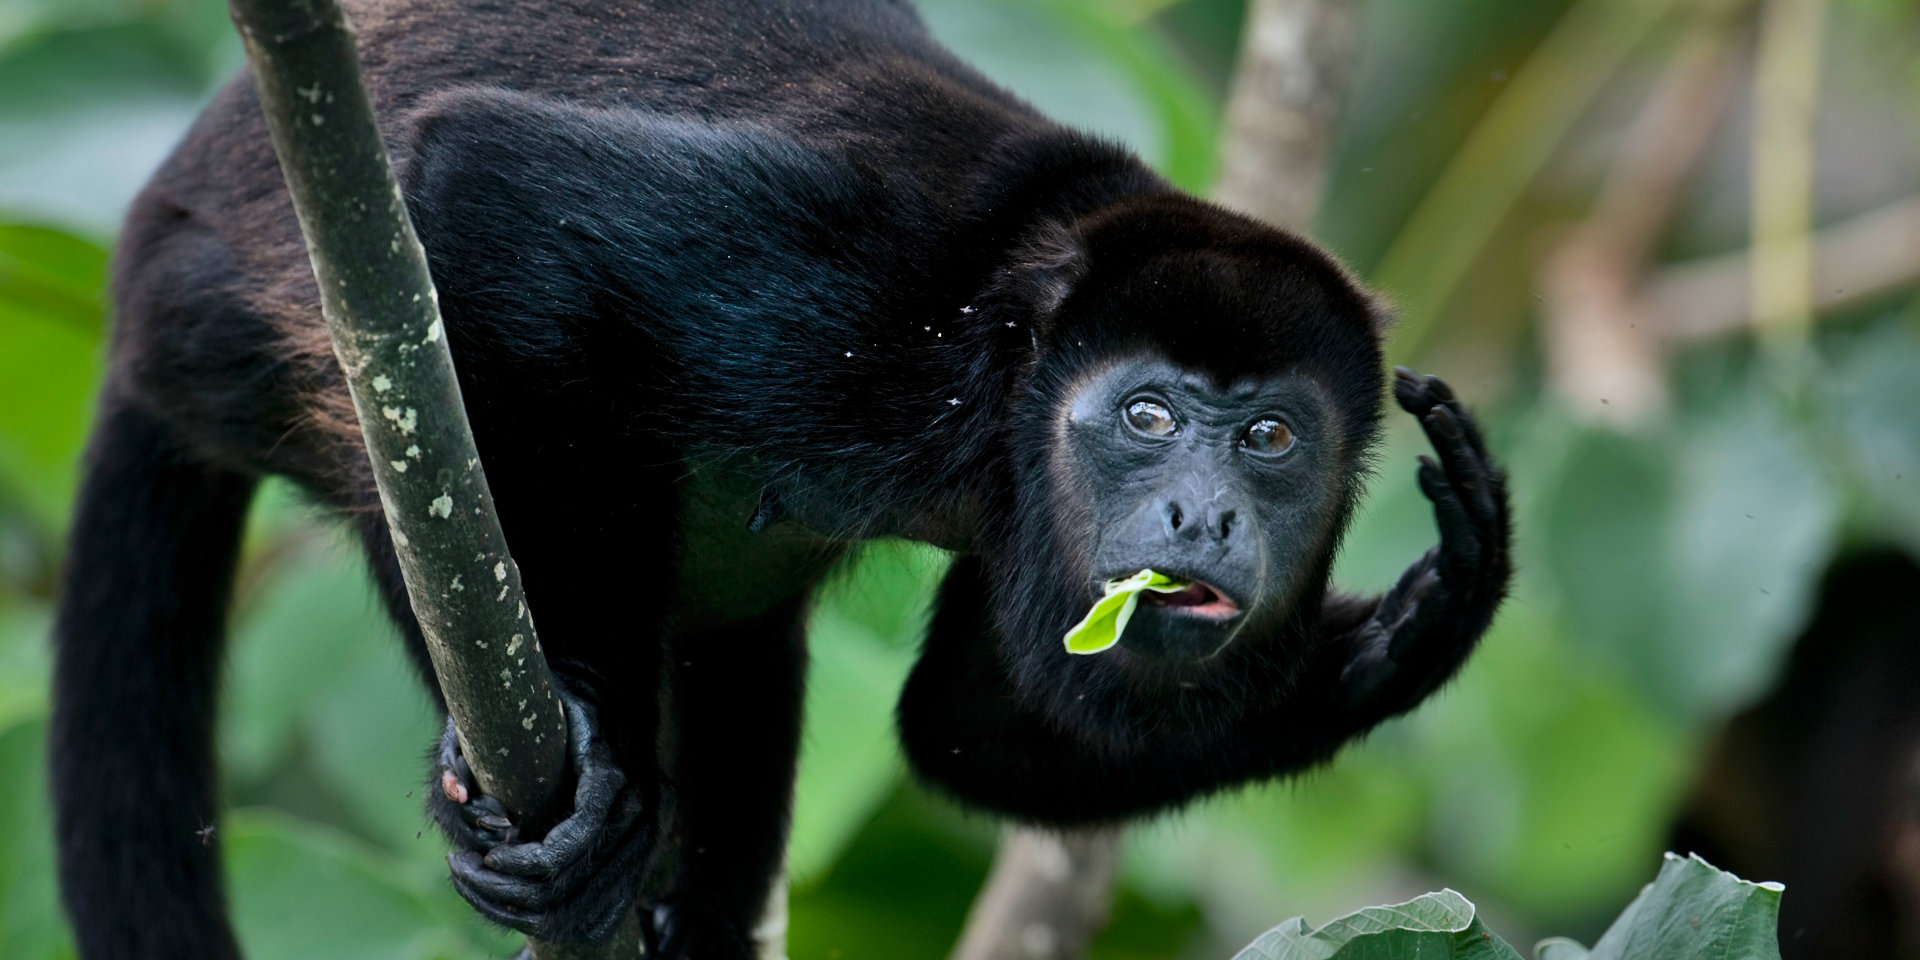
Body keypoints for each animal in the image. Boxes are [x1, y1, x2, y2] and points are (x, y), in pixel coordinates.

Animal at [47, 1, 1512, 958]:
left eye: (1270, 439)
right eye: (1147, 414)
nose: (1201, 512)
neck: (1004, 386)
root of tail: (139, 271)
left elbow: (959, 726)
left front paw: (1416, 627)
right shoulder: (862, 300)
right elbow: (492, 187)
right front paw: (580, 753)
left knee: (740, 638)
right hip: (244, 344)